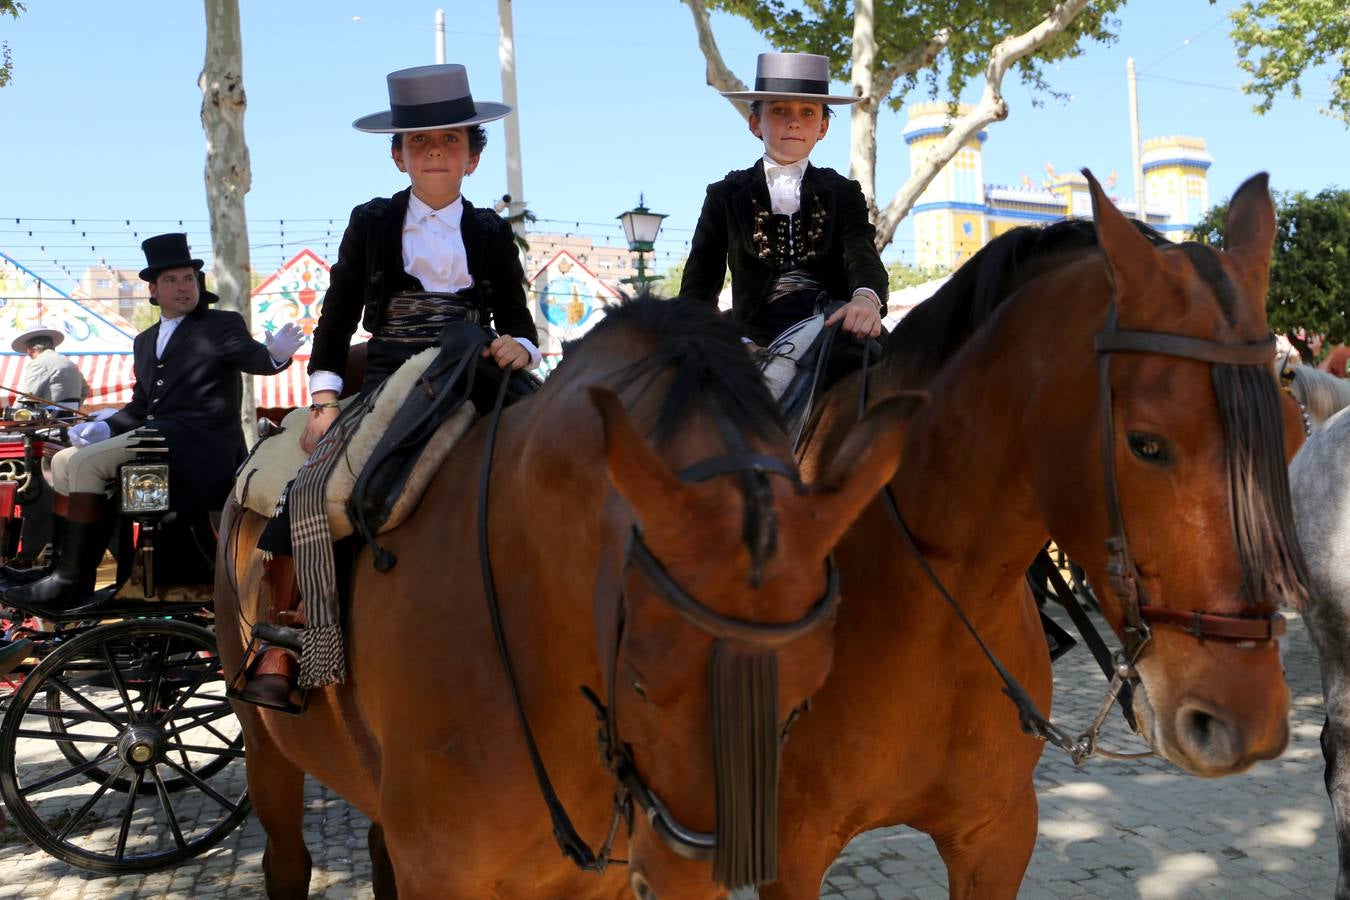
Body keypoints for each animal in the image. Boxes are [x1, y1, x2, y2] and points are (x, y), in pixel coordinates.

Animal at [218, 296, 918, 900]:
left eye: (805, 697)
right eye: (639, 683)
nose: (692, 885)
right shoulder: (437, 874)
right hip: (264, 745)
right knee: (286, 857)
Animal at [626, 172, 1312, 895]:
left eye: (1293, 439)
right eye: (1146, 444)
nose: (1246, 719)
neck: (938, 605)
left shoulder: (997, 835)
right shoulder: (792, 851)